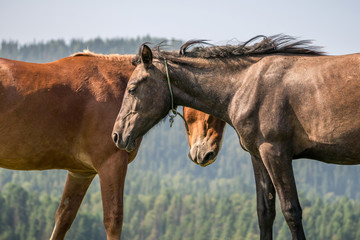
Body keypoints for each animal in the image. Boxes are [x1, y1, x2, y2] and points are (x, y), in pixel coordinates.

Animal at [112, 34, 360, 239]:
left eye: (132, 88)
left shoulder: (276, 153)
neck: (247, 85)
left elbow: (291, 211)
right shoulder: (259, 156)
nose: (117, 135)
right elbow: (265, 212)